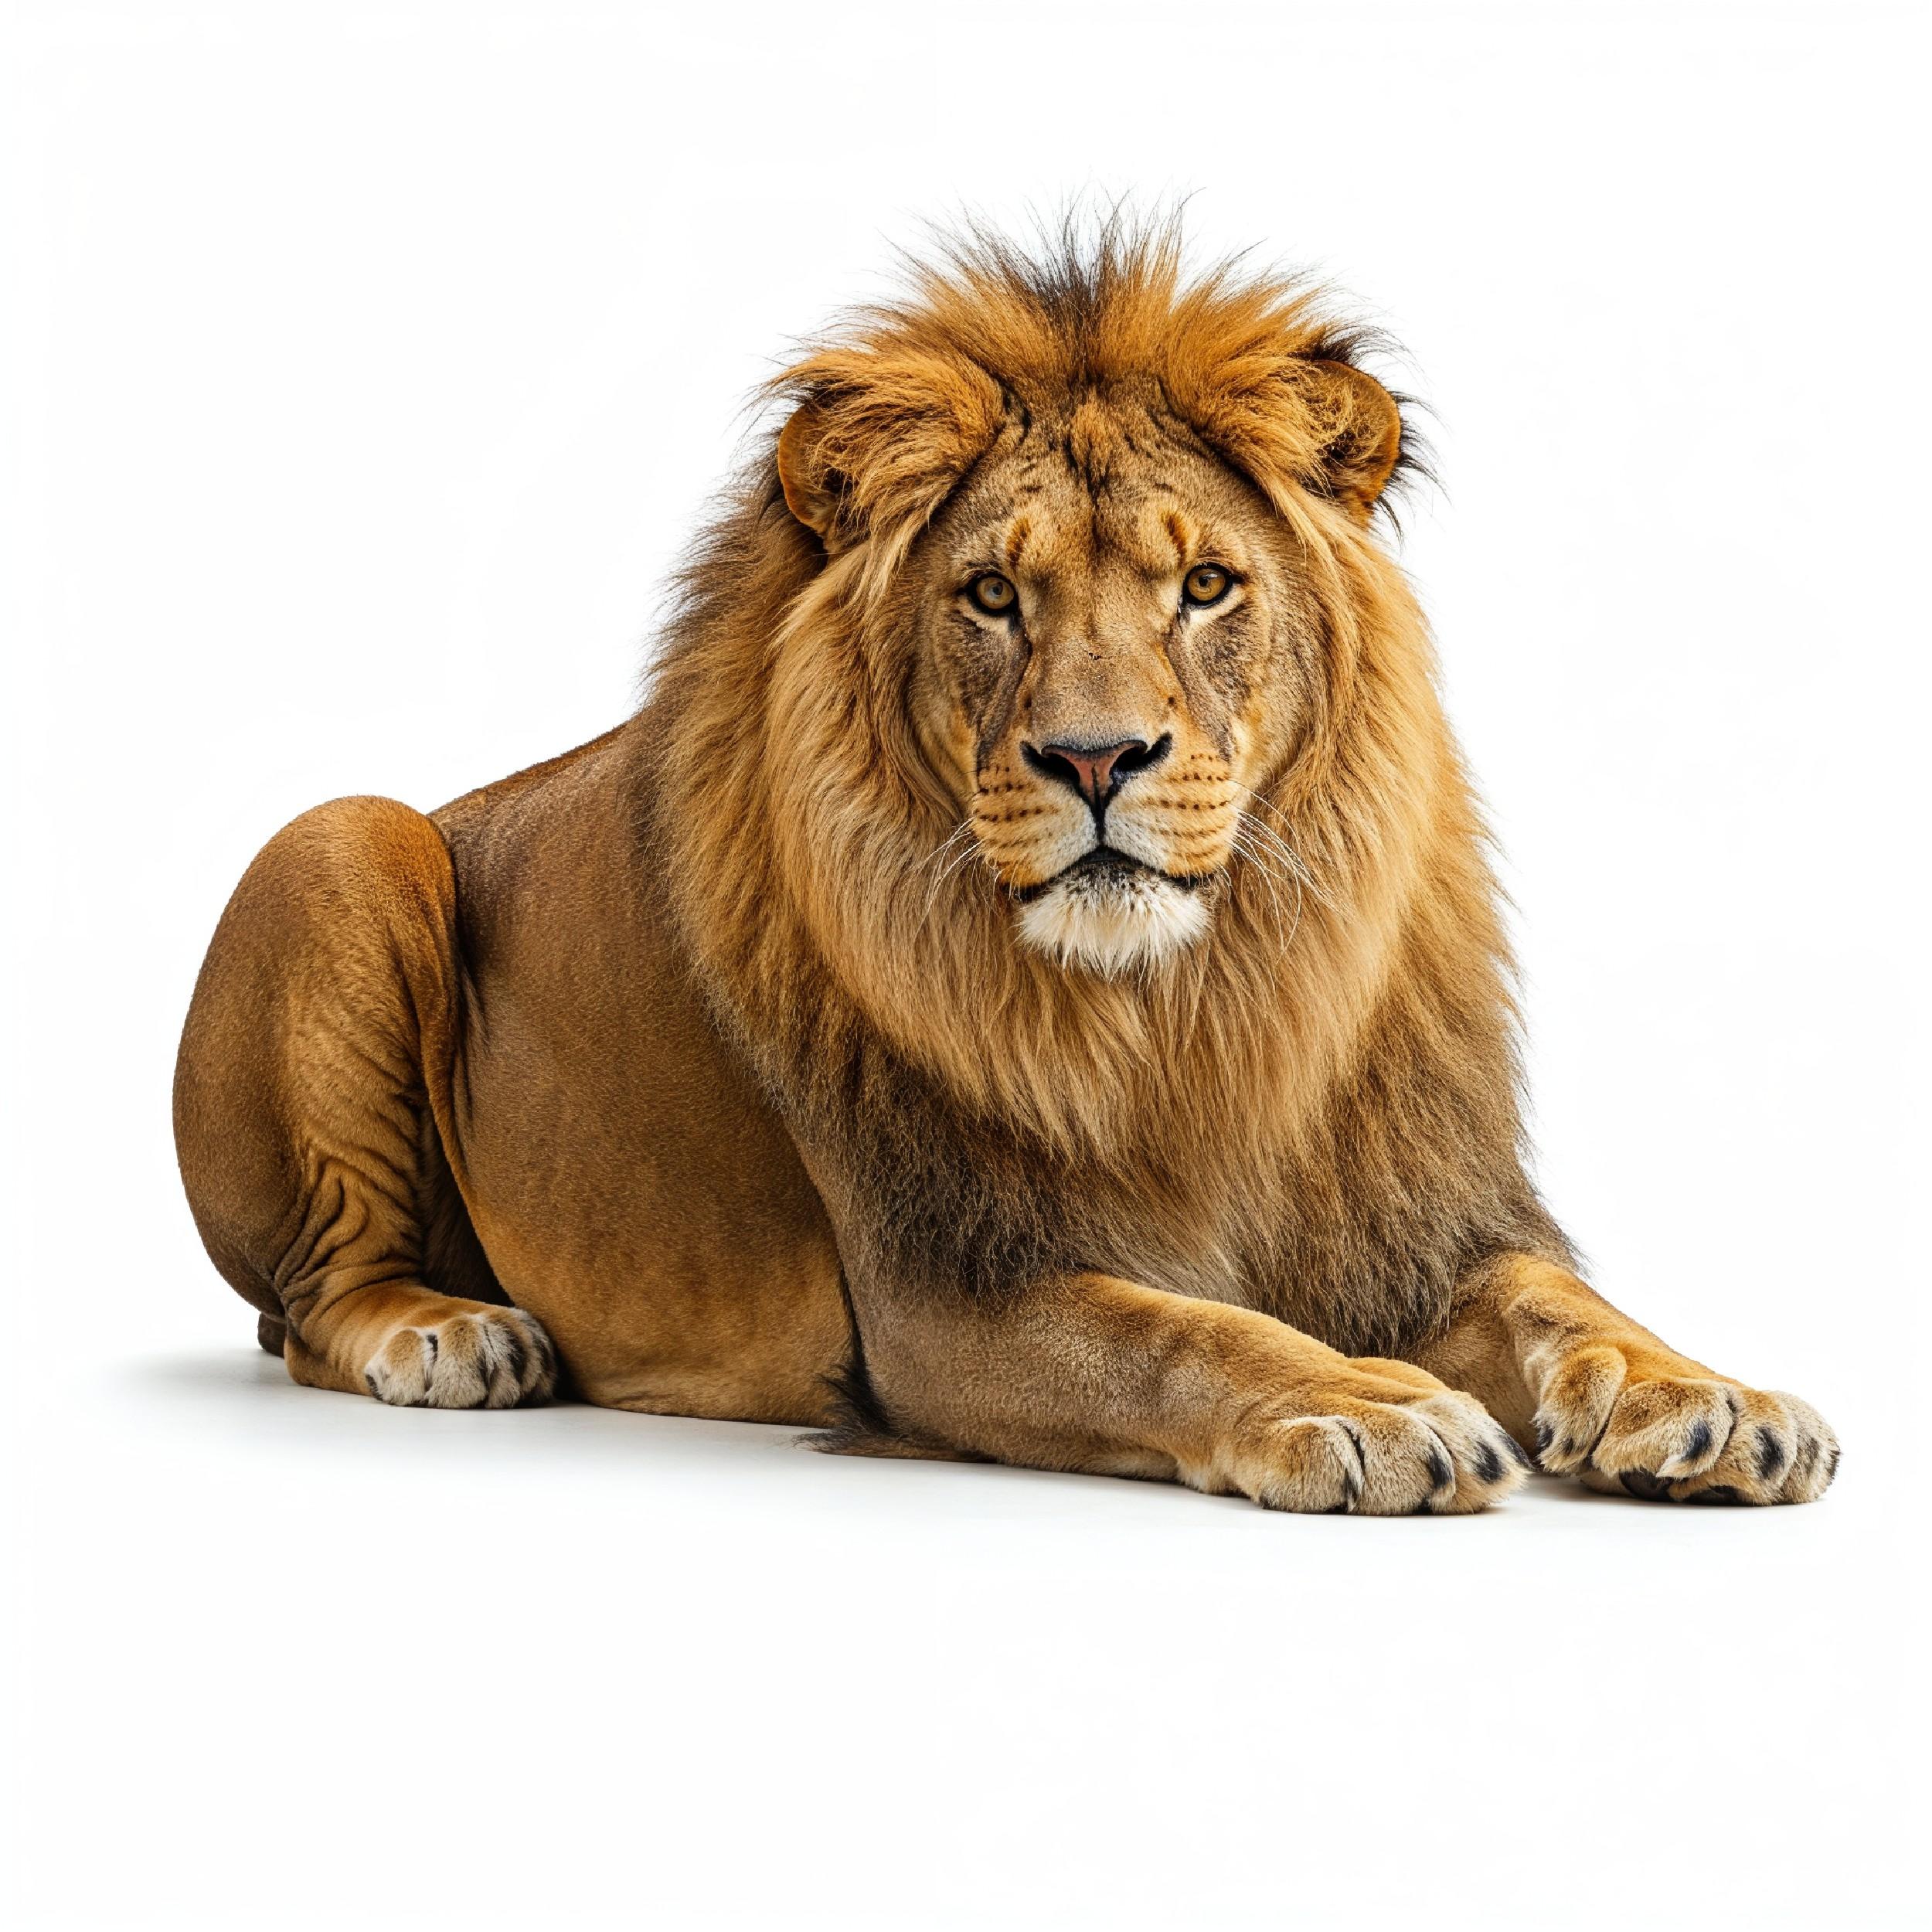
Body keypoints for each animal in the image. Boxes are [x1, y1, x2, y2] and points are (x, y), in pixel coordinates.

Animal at [173, 219, 1837, 1512]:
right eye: (989, 595)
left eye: (1205, 586)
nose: (1095, 760)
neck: (1194, 1002)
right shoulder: (944, 1295)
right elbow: (1181, 1333)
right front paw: (1366, 1405)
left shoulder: (1409, 1215)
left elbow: (1566, 1299)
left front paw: (1711, 1397)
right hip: (342, 840)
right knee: (314, 1302)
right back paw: (457, 1335)